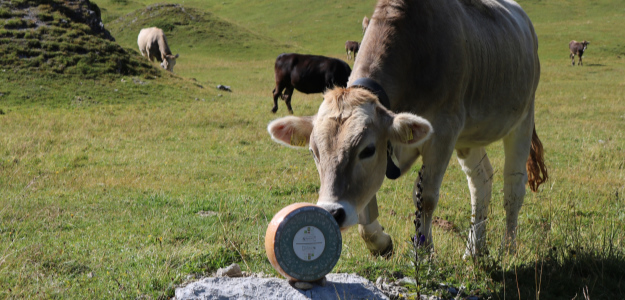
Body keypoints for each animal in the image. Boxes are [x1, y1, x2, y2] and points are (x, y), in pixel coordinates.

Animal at [268, 0, 544, 258]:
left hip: (523, 116)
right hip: (467, 137)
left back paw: (508, 248)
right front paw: (380, 242)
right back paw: (474, 250)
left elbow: (426, 198)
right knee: (481, 180)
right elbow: (366, 207)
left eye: (367, 150)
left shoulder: (443, 131)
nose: (332, 213)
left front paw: (424, 251)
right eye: (314, 152)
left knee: (513, 185)